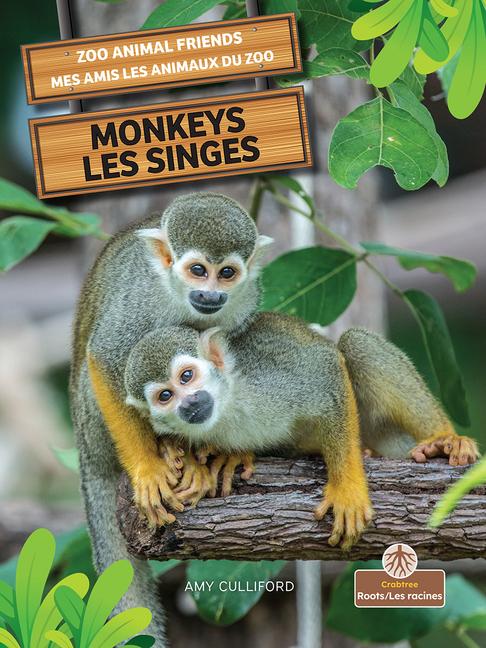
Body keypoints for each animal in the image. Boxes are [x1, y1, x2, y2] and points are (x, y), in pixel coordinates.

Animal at [69, 193, 272, 645]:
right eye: (197, 270)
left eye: (226, 273)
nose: (210, 295)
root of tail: (86, 454)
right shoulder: (140, 299)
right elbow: (105, 358)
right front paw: (147, 468)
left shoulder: (245, 299)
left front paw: (224, 452)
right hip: (91, 423)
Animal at [124, 313, 375, 551]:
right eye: (165, 396)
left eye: (186, 376)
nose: (189, 402)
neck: (228, 404)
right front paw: (188, 460)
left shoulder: (269, 379)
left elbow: (327, 370)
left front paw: (346, 490)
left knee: (356, 343)